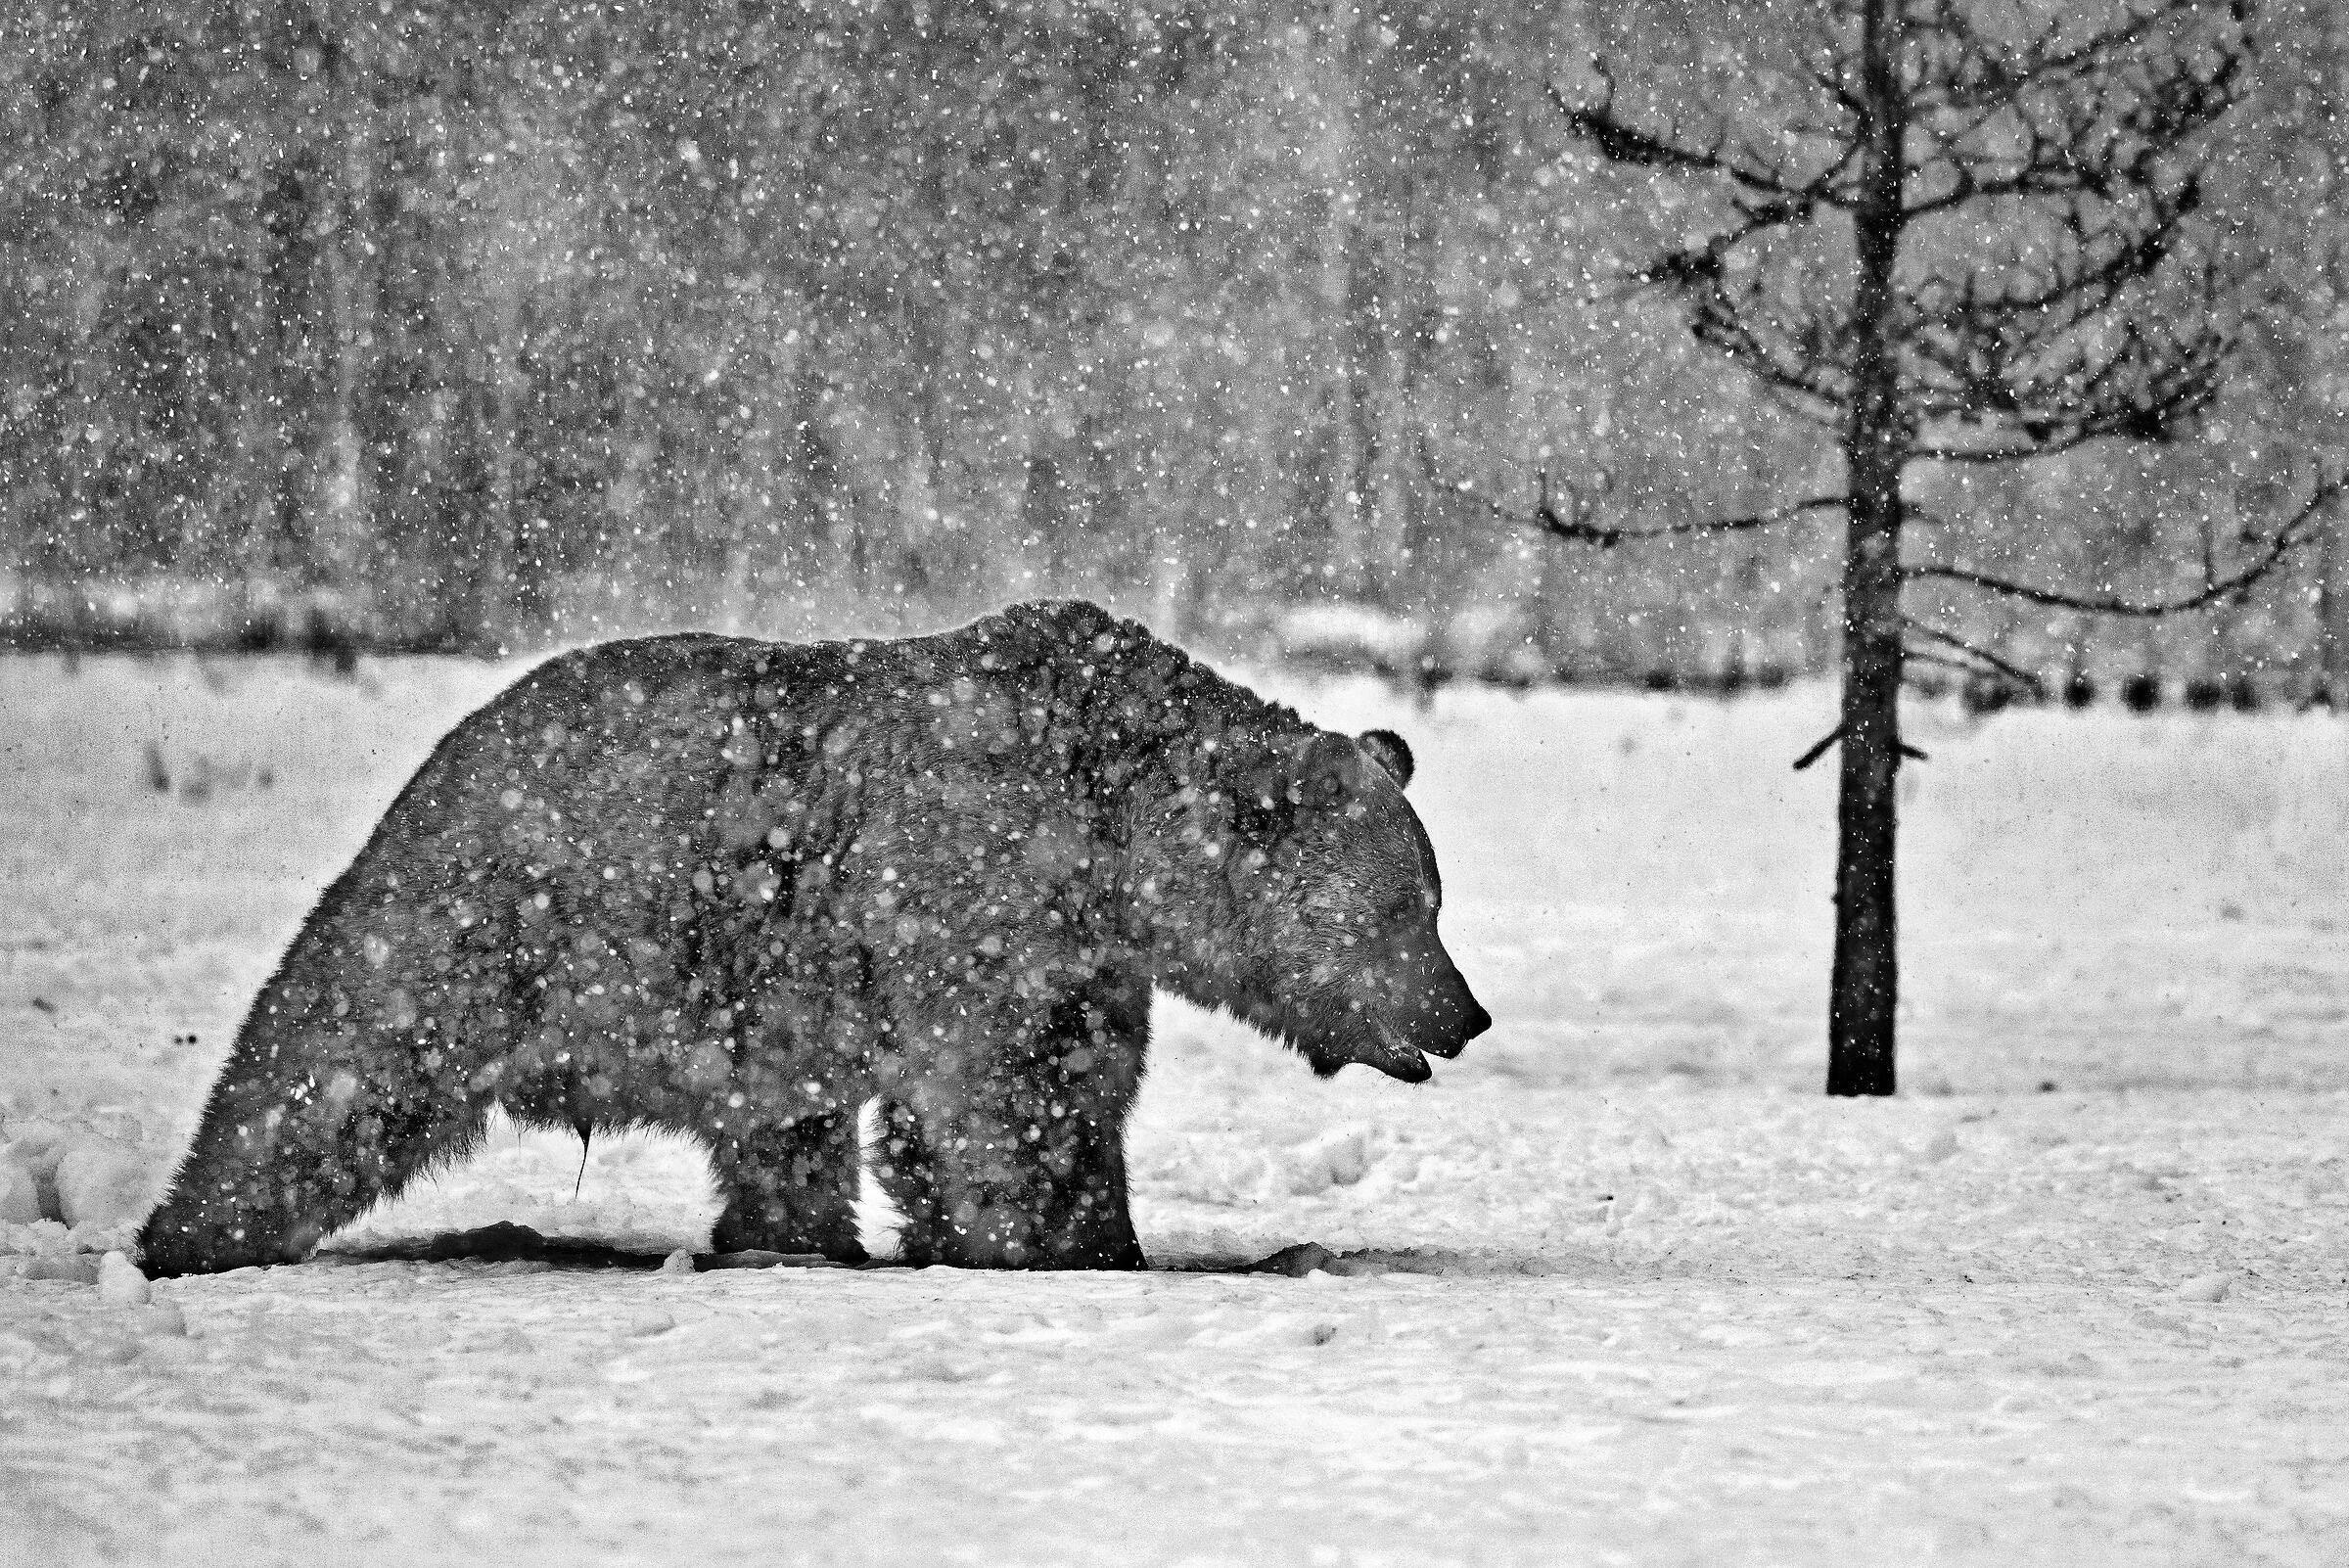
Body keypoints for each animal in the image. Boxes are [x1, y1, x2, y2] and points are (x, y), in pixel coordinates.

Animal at [136, 599, 1489, 1277]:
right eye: (1407, 906)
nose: (1463, 1013)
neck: (1112, 833)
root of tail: (442, 756)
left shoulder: (1086, 958)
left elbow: (1076, 1086)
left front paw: (1095, 1232)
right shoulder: (977, 896)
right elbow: (1003, 1099)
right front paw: (1041, 1244)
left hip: (748, 996)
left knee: (784, 1135)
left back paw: (791, 1241)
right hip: (487, 921)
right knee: (325, 1076)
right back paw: (186, 1237)